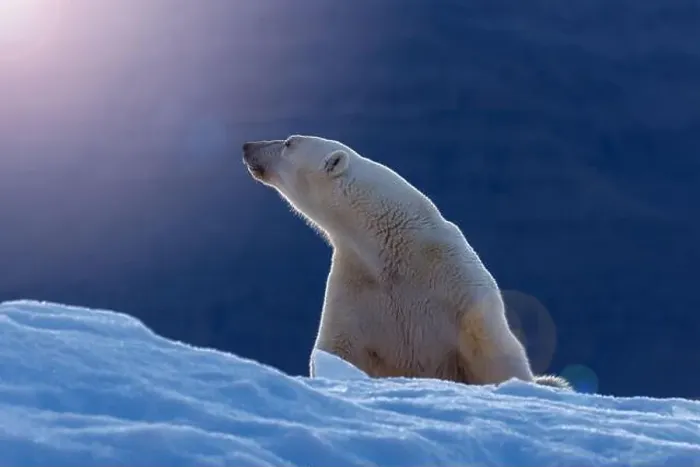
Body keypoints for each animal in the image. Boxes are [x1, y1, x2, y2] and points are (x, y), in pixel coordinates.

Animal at [242, 135, 571, 391]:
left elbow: (493, 348)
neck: (392, 246)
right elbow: (338, 346)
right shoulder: (356, 285)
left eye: (288, 142)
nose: (248, 146)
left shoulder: (456, 284)